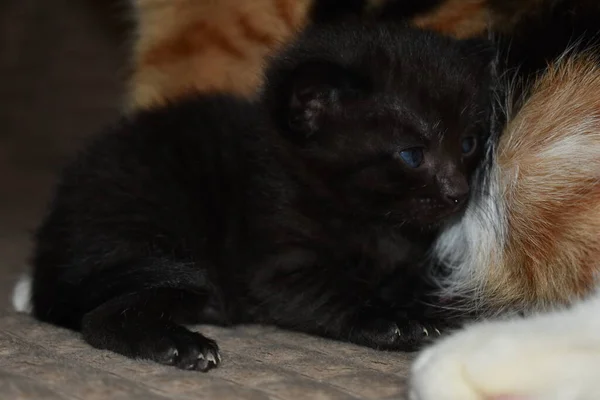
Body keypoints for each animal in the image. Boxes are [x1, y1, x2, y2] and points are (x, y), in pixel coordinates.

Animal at [29, 22, 492, 372]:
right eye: (412, 154)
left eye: (468, 145)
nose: (459, 193)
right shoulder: (276, 265)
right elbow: (337, 290)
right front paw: (393, 319)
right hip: (152, 234)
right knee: (98, 318)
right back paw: (179, 346)